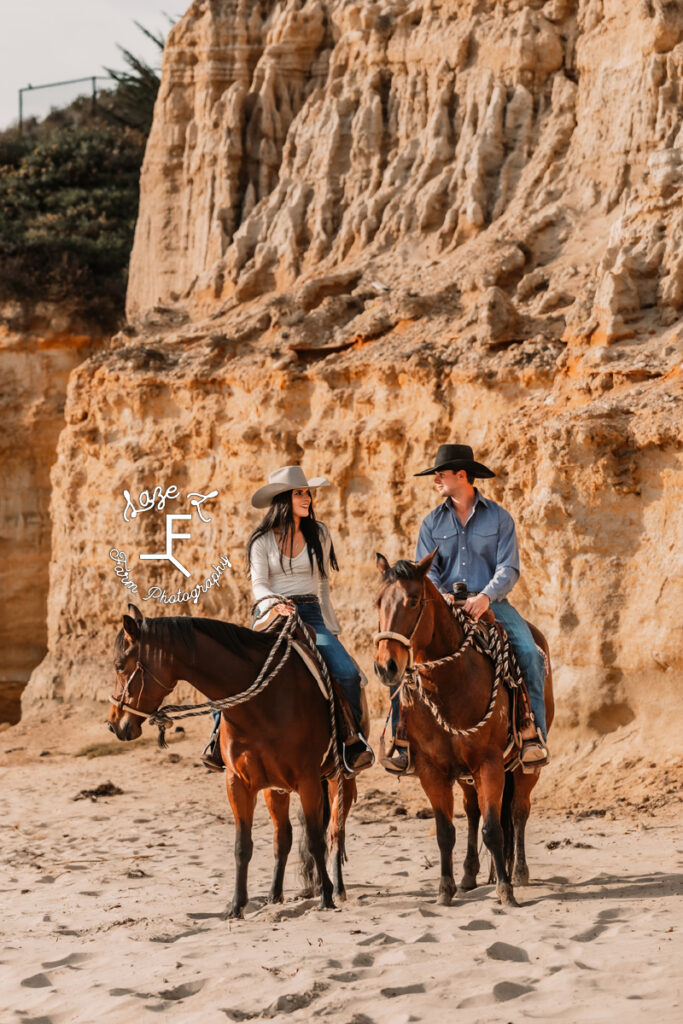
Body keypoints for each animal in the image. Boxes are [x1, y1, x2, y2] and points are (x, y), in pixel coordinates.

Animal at [107, 602, 358, 917]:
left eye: (119, 665)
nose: (113, 724)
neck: (261, 705)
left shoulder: (308, 780)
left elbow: (315, 840)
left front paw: (325, 896)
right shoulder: (238, 782)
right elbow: (242, 846)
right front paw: (237, 906)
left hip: (339, 779)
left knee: (335, 833)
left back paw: (337, 889)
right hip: (276, 790)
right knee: (283, 838)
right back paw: (274, 894)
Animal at [374, 552, 557, 905]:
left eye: (413, 600)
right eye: (378, 601)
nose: (386, 666)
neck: (450, 683)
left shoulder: (489, 763)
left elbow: (494, 829)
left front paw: (505, 890)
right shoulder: (431, 769)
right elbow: (446, 832)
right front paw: (445, 889)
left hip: (525, 769)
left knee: (518, 811)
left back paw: (519, 872)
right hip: (465, 775)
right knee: (472, 812)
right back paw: (470, 874)